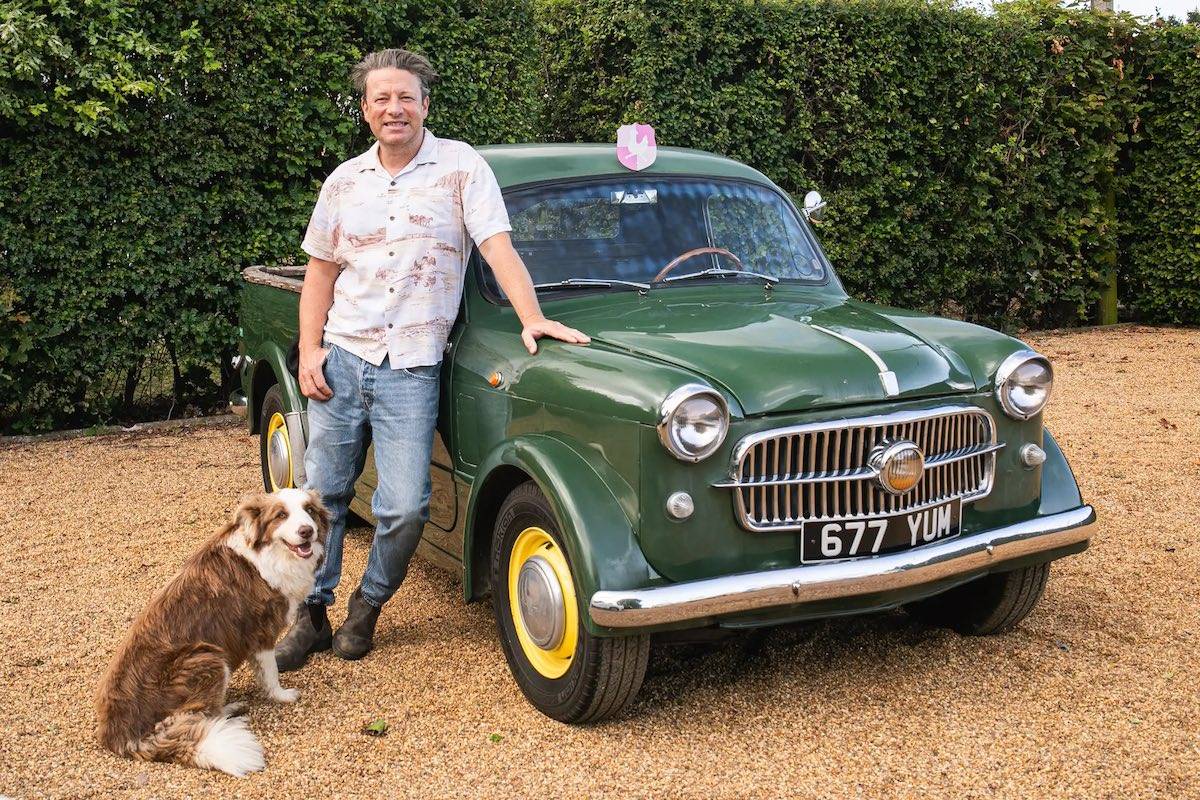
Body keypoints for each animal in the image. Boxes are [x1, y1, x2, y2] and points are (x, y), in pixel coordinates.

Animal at [94, 489, 328, 777]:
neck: (268, 553)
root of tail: (120, 736)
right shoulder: (261, 633)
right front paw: (282, 696)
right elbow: (271, 674)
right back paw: (228, 710)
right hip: (208, 657)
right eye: (281, 515)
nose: (307, 531)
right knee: (202, 714)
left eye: (309, 510)